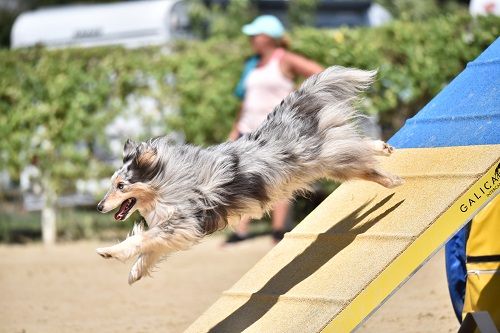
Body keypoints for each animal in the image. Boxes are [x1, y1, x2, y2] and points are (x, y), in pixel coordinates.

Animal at [95, 66, 404, 284]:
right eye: (112, 185)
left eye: (121, 185)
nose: (98, 206)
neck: (167, 181)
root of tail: (287, 119)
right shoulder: (180, 230)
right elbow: (150, 249)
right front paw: (135, 273)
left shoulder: (183, 222)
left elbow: (141, 240)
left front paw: (111, 251)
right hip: (332, 160)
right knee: (358, 146)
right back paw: (384, 148)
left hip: (333, 160)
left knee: (364, 162)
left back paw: (393, 180)